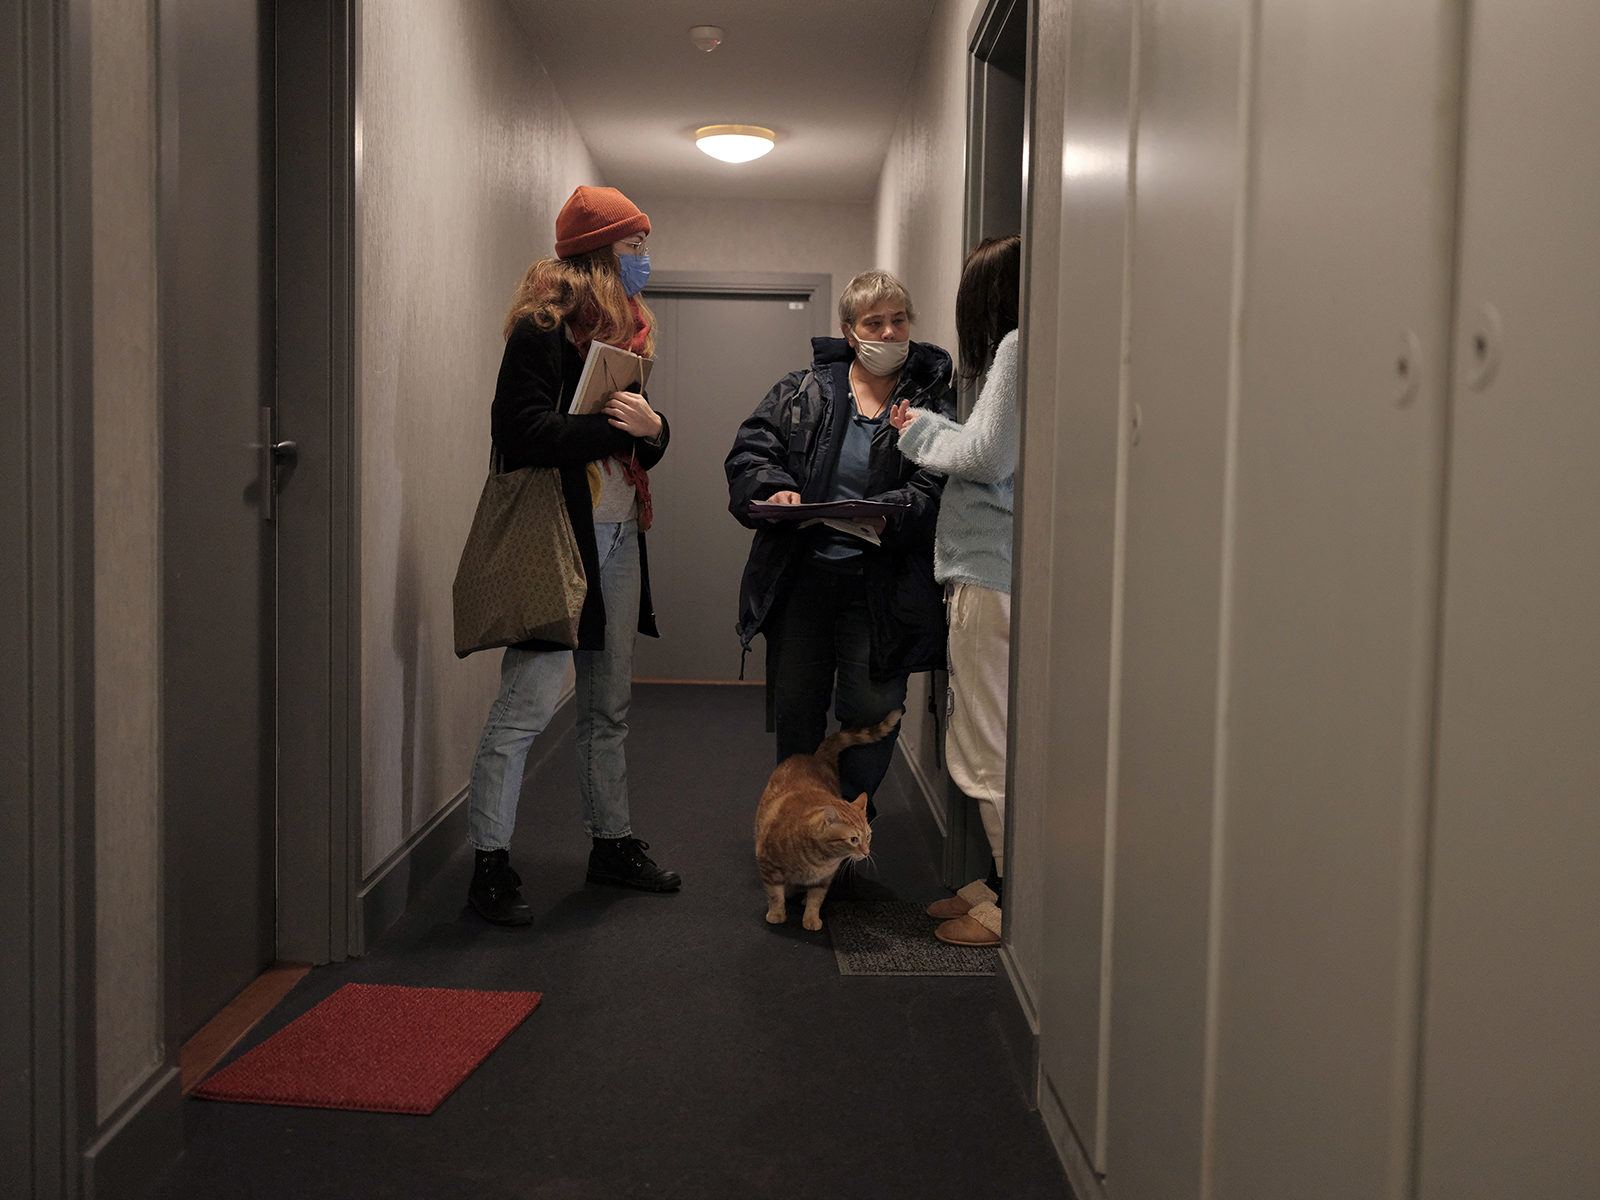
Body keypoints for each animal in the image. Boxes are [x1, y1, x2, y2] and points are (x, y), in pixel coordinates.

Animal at [748, 710, 902, 934]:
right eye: (853, 839)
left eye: (868, 836)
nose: (866, 853)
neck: (820, 859)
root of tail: (814, 758)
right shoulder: (767, 863)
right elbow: (775, 895)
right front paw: (777, 914)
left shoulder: (824, 879)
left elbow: (816, 899)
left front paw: (811, 917)